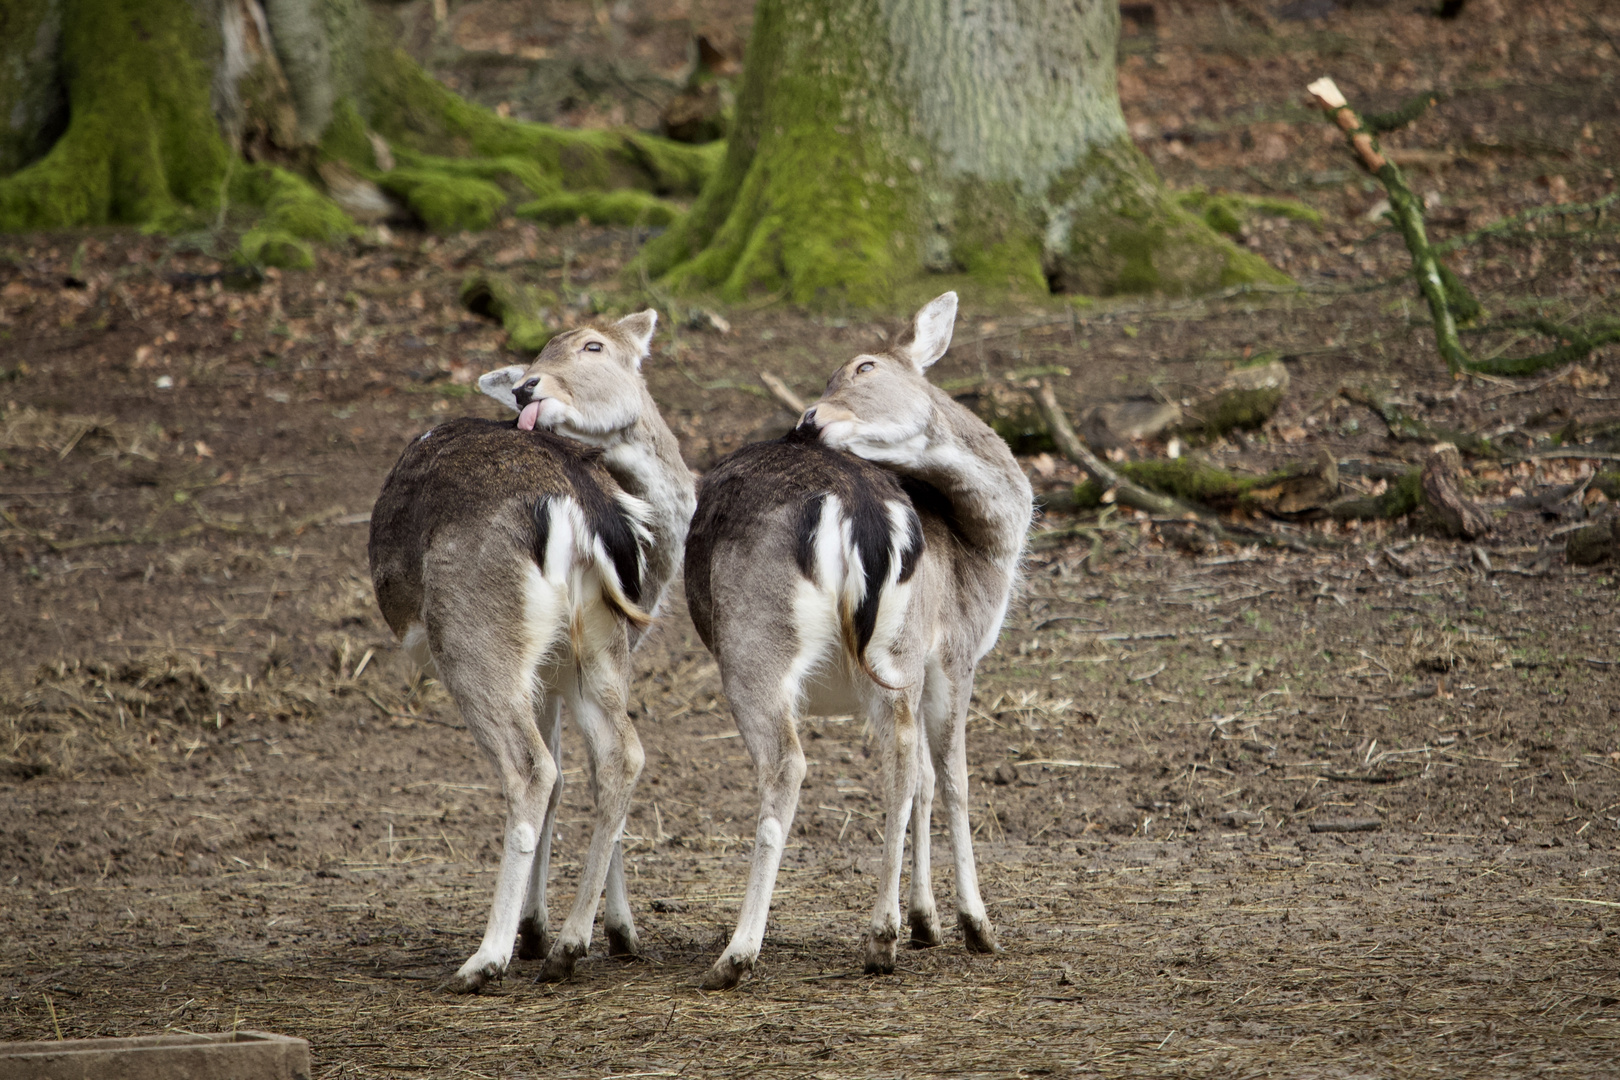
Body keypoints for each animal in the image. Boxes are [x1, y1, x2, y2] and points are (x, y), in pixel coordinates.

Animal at [367, 307, 696, 990]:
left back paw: (485, 957)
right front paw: (602, 932)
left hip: (477, 635)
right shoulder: (586, 658)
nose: (525, 389)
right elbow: (584, 773)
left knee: (530, 766)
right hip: (593, 640)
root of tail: (575, 505)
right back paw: (569, 946)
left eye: (594, 347)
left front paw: (532, 929)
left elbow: (560, 773)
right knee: (622, 754)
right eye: (537, 353)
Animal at [680, 293, 1030, 990]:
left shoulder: (950, 657)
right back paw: (867, 937)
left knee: (817, 763)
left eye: (864, 366)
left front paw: (958, 925)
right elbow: (940, 778)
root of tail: (861, 510)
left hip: (777, 649)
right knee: (888, 762)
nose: (806, 419)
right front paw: (940, 924)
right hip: (859, 651)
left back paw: (758, 950)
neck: (988, 552)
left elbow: (946, 778)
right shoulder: (945, 656)